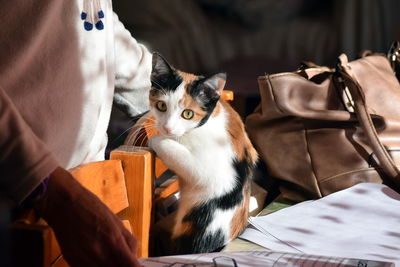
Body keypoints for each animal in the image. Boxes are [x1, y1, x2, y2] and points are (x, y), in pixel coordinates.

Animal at [148, 52, 258, 255]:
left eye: (188, 114)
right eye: (161, 106)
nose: (167, 128)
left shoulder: (214, 174)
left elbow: (168, 145)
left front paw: (156, 139)